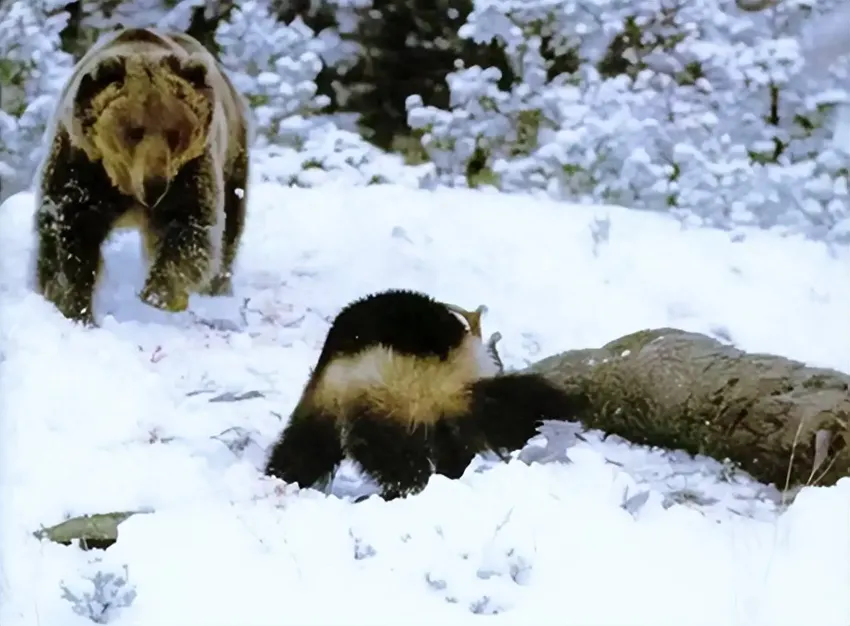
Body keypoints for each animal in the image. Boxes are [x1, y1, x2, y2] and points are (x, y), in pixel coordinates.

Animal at [34, 26, 252, 324]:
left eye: (174, 132)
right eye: (134, 131)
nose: (155, 185)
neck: (125, 185)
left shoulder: (189, 173)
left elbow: (190, 229)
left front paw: (156, 296)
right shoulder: (81, 165)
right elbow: (71, 233)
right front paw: (77, 308)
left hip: (233, 155)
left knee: (231, 222)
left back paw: (217, 287)